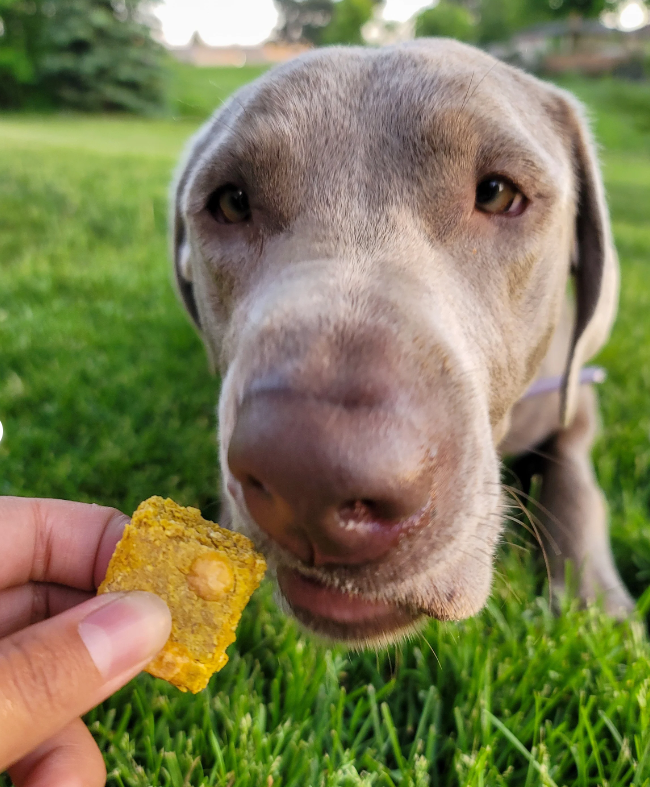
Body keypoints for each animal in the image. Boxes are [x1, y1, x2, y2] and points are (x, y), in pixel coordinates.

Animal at [170, 38, 632, 648]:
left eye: (498, 193)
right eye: (231, 203)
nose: (310, 480)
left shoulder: (573, 399)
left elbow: (577, 483)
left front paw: (595, 604)